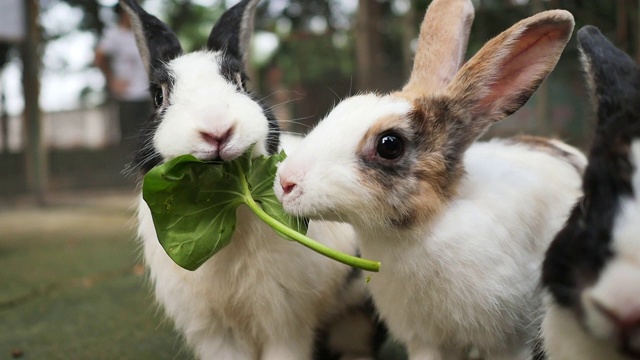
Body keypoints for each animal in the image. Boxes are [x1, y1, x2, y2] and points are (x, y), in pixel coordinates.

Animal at [118, 1, 382, 358]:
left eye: (242, 82)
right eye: (159, 97)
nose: (217, 130)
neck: (226, 210)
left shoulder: (285, 321)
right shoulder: (213, 331)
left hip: (356, 319)